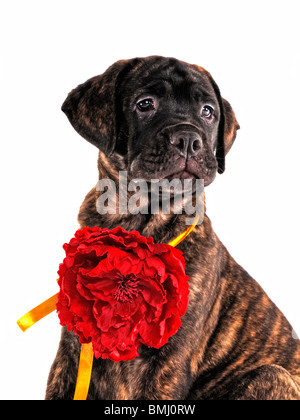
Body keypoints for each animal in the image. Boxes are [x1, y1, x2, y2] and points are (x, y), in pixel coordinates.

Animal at [44, 56, 300, 400]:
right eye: (145, 104)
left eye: (208, 111)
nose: (189, 140)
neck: (137, 217)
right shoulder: (72, 350)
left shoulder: (168, 359)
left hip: (272, 375)